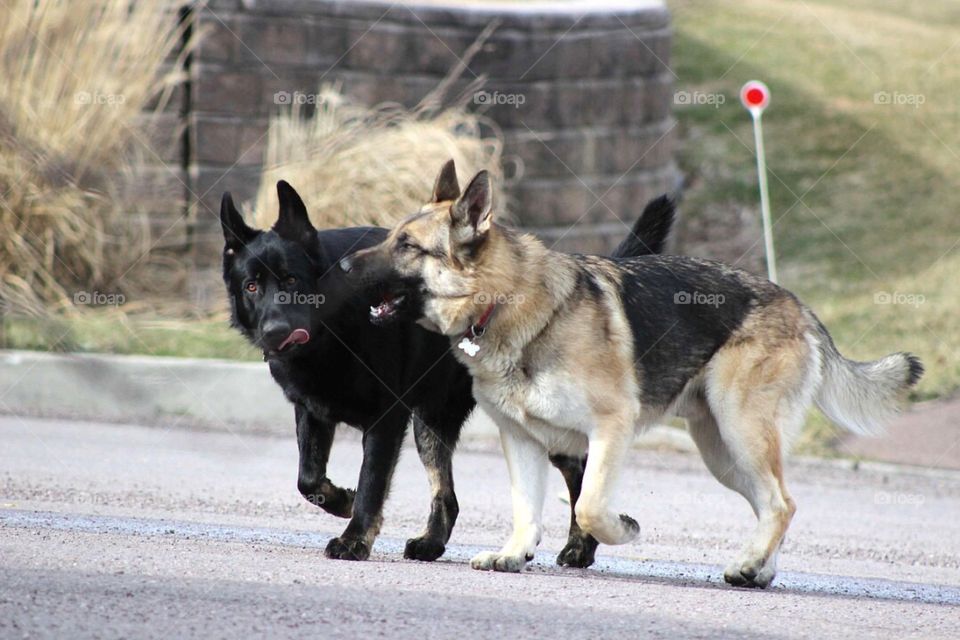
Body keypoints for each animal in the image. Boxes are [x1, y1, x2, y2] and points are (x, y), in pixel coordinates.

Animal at [223, 181, 676, 564]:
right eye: (251, 287)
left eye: (292, 280)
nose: (275, 332)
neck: (334, 328)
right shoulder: (312, 411)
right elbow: (309, 478)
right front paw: (339, 500)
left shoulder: (386, 422)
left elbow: (370, 484)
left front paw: (354, 536)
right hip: (432, 425)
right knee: (449, 496)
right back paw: (433, 542)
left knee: (580, 478)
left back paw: (581, 547)